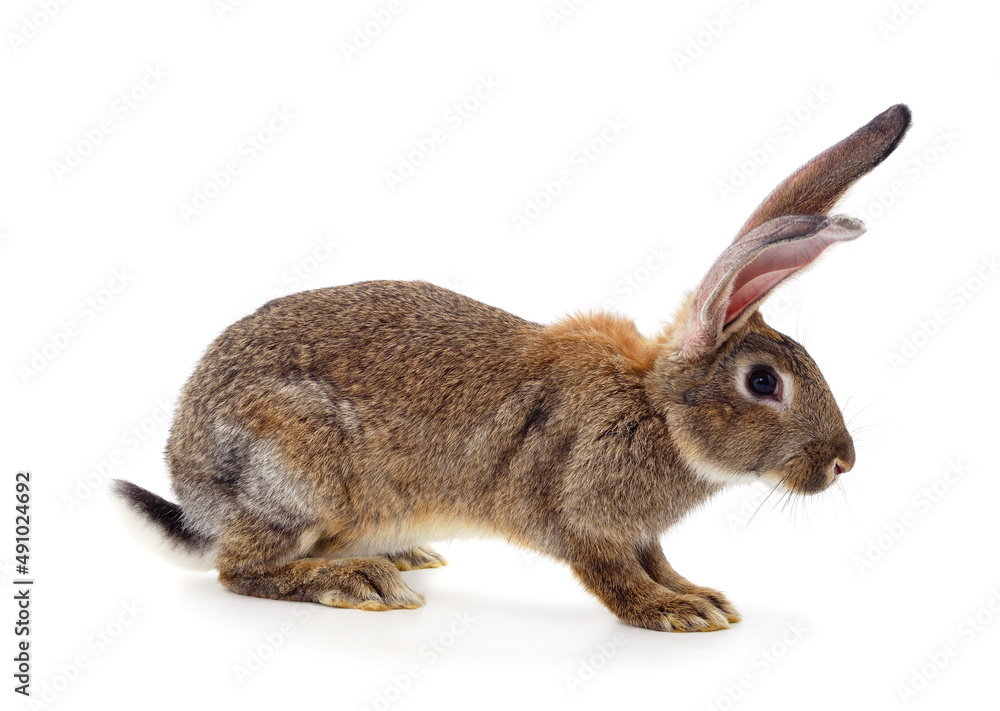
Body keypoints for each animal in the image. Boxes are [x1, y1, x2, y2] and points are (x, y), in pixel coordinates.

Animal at [111, 103, 911, 632]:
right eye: (763, 382)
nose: (843, 461)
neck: (655, 407)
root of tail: (196, 492)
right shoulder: (577, 511)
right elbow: (614, 574)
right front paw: (674, 611)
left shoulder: (637, 528)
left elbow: (655, 556)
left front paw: (701, 595)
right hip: (298, 475)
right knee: (240, 569)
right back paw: (359, 581)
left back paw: (401, 556)